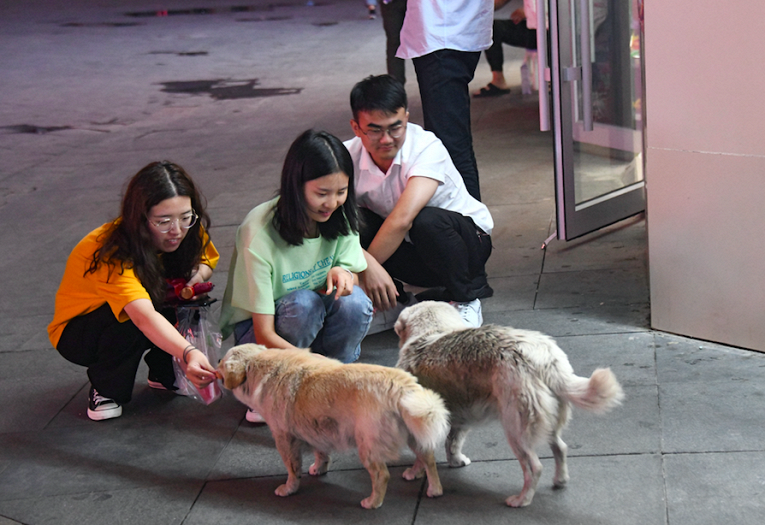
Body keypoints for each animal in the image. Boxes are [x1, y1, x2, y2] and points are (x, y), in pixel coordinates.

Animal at [218, 344, 450, 508]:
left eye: (222, 363)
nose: (217, 359)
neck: (262, 367)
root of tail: (402, 387)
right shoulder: (315, 430)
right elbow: (321, 454)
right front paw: (319, 468)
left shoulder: (284, 439)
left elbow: (293, 470)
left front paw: (289, 488)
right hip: (415, 433)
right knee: (428, 459)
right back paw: (430, 486)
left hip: (367, 447)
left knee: (382, 476)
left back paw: (372, 502)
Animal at [396, 300, 624, 506]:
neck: (431, 332)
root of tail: (544, 359)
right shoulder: (461, 418)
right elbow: (452, 443)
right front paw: (456, 461)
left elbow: (423, 454)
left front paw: (414, 472)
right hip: (546, 422)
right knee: (560, 448)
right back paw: (559, 480)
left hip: (515, 431)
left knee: (535, 467)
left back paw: (522, 500)